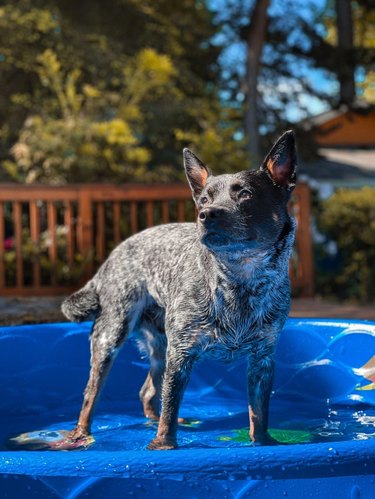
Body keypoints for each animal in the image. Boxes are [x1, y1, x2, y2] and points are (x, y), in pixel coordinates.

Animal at [60, 131, 298, 452]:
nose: (206, 214)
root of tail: (112, 256)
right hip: (112, 337)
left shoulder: (263, 359)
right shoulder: (182, 353)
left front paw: (263, 443)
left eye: (245, 194)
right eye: (205, 199)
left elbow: (259, 412)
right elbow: (171, 405)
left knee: (148, 391)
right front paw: (164, 445)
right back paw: (80, 434)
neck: (239, 280)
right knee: (91, 396)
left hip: (161, 349)